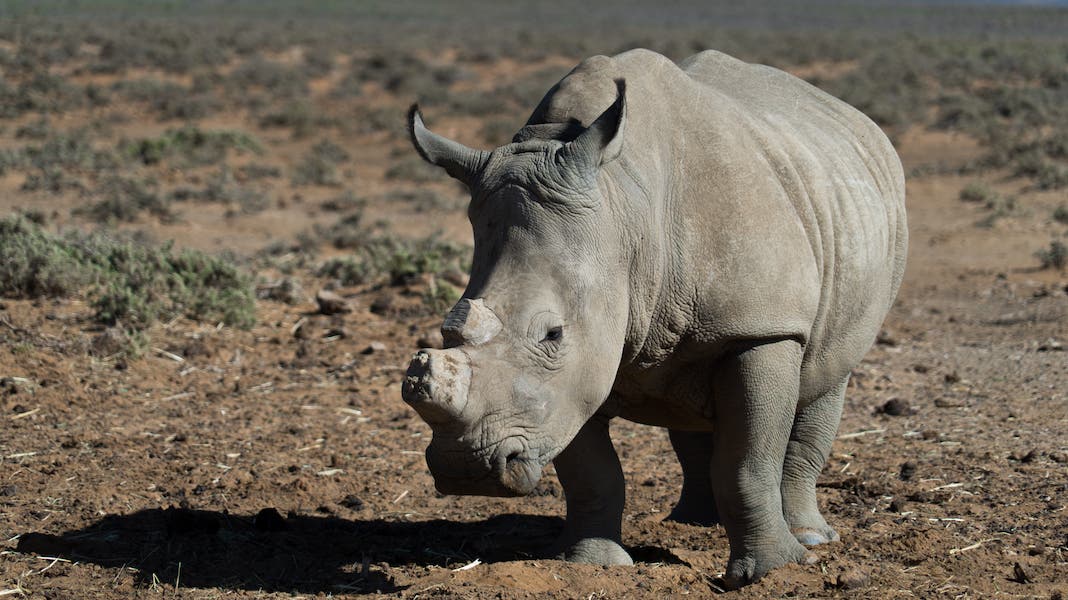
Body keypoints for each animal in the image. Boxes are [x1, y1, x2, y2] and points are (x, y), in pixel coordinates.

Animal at [401, 48, 907, 587]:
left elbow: (749, 461)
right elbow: (591, 472)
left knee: (826, 377)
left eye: (553, 334)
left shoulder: (761, 329)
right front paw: (593, 564)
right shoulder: (581, 366)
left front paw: (773, 571)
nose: (464, 468)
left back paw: (811, 540)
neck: (624, 212)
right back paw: (691, 523)